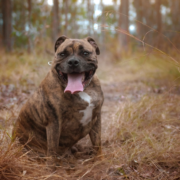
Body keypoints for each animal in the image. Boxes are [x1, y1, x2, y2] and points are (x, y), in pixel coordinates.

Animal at [13, 35, 104, 165]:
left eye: (85, 53)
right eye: (62, 54)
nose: (73, 62)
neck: (83, 90)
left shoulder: (96, 117)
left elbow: (97, 143)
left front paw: (100, 160)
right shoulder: (54, 122)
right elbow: (52, 148)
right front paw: (51, 167)